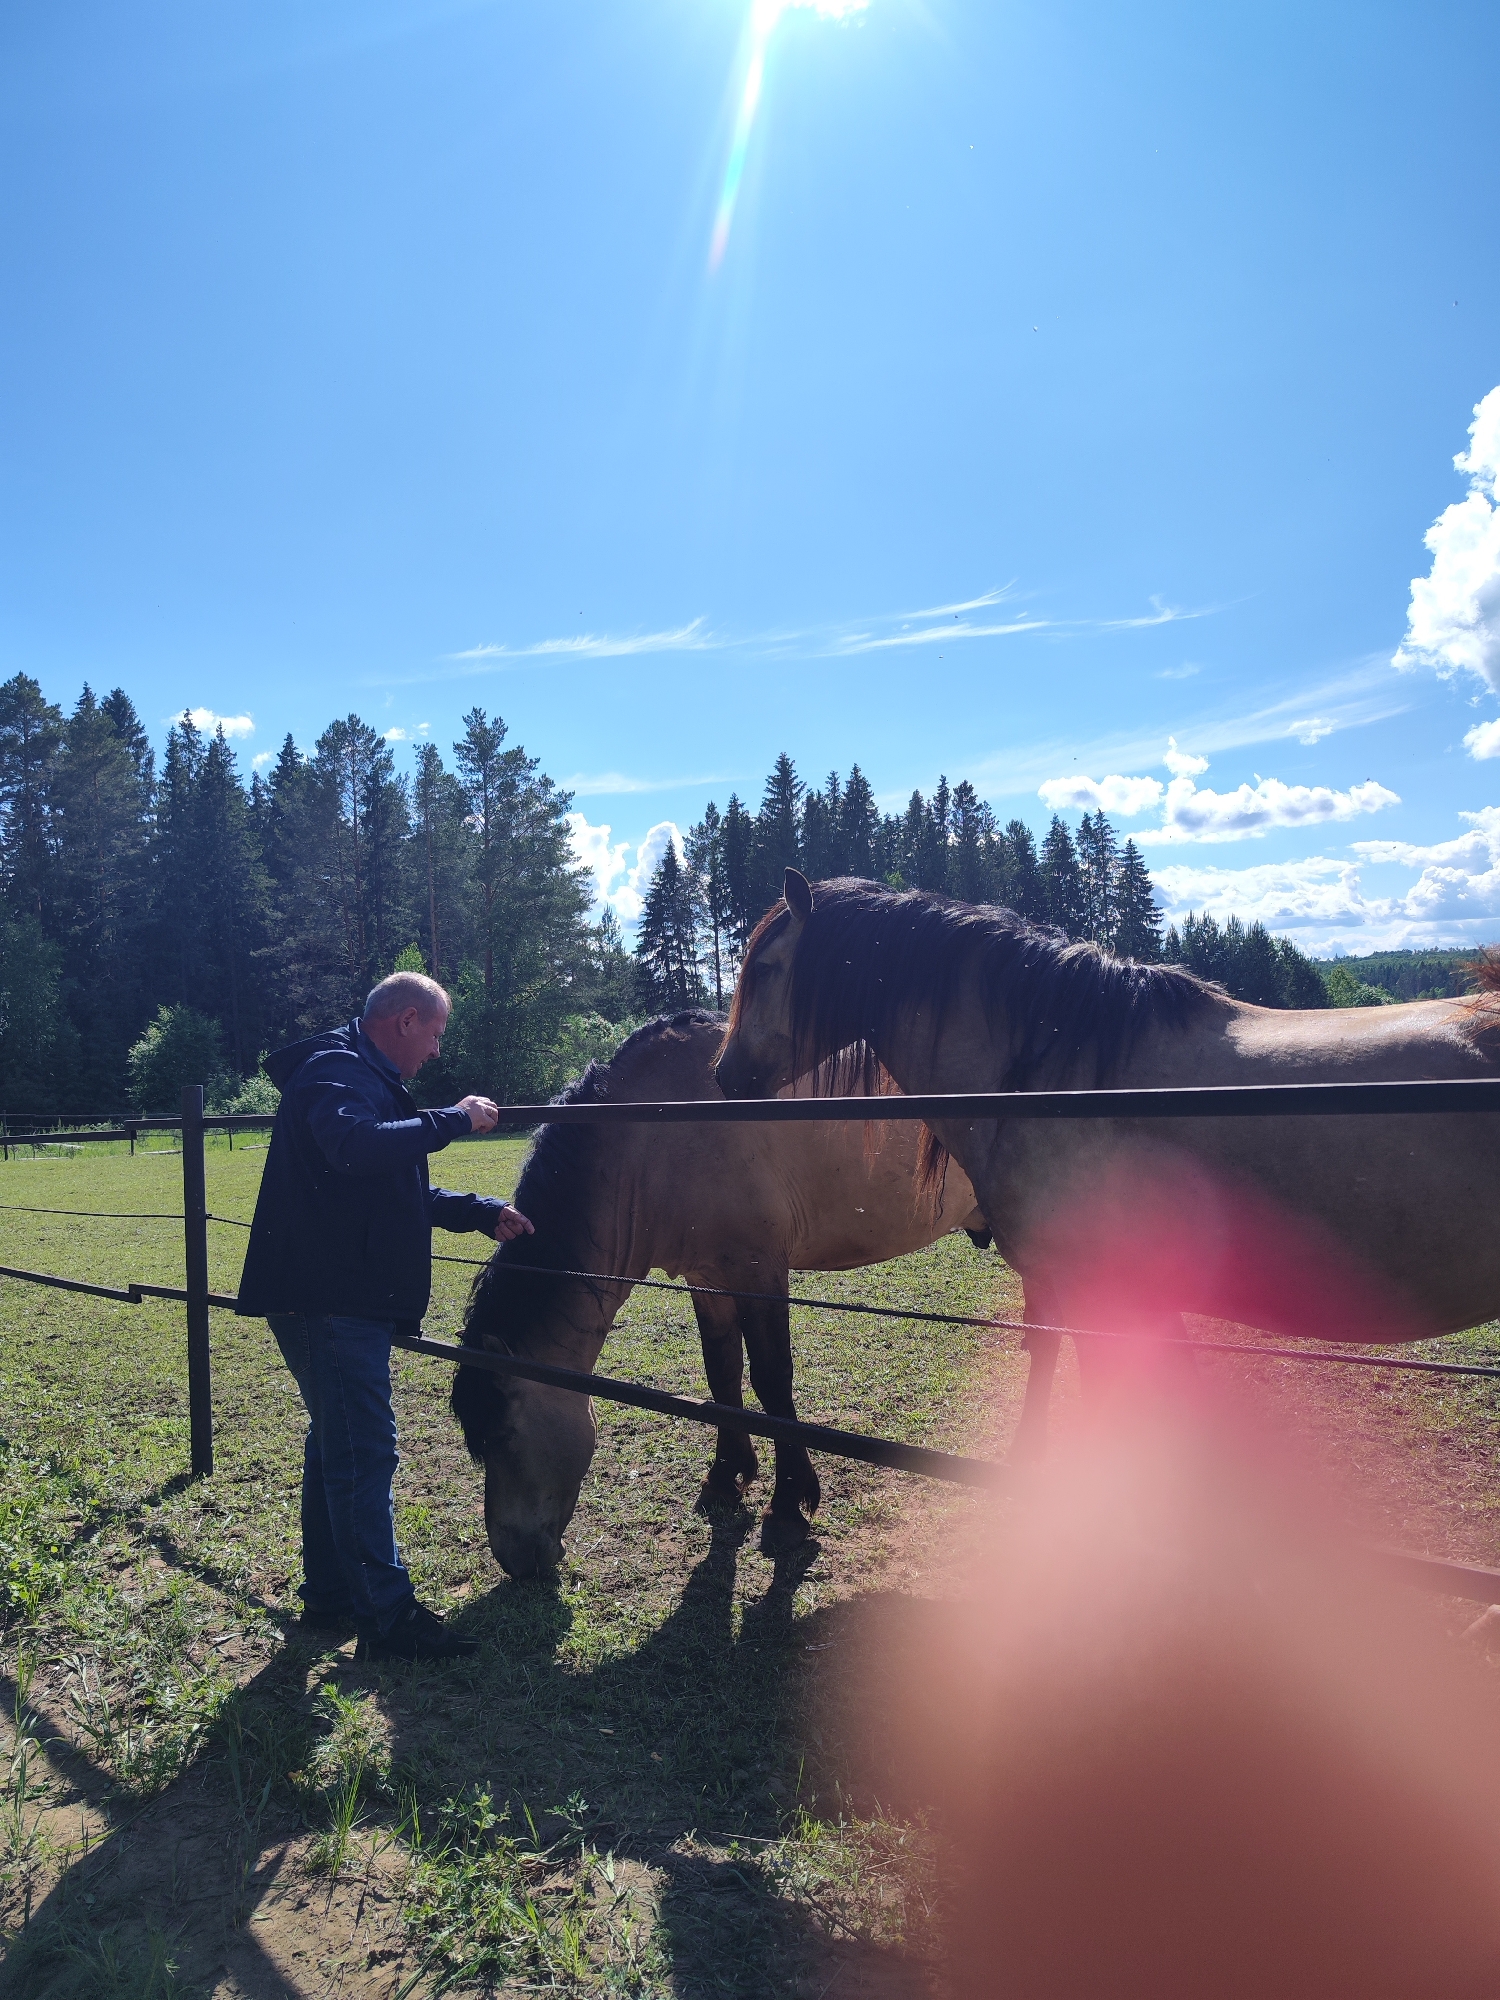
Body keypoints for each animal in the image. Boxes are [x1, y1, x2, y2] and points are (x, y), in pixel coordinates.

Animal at [450, 1009, 988, 1579]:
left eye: (501, 1435)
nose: (512, 1557)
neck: (660, 1135)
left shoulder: (760, 1274)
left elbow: (772, 1381)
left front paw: (787, 1506)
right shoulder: (707, 1277)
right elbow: (722, 1369)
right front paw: (727, 1474)